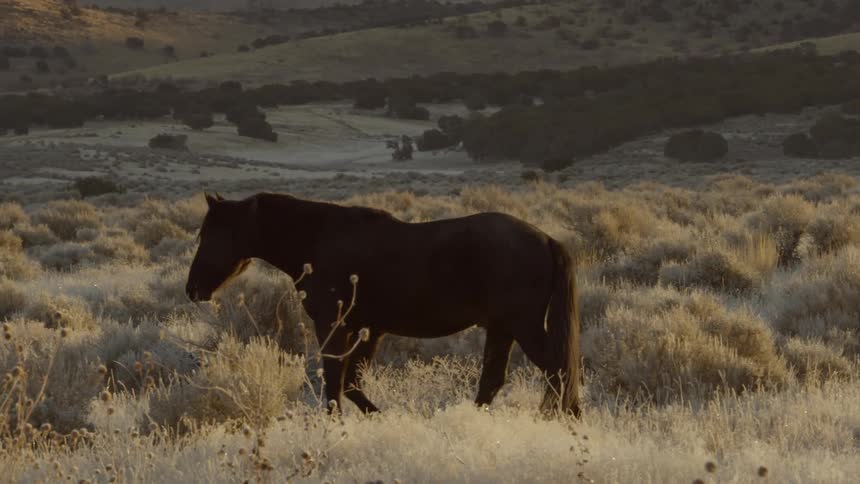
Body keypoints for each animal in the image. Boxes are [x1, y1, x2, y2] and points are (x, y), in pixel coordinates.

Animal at [185, 192, 581, 417]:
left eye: (209, 234)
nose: (192, 289)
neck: (320, 238)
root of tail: (547, 239)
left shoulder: (333, 326)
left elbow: (335, 383)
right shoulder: (369, 330)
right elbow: (350, 384)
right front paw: (379, 416)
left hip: (523, 326)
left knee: (557, 372)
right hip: (502, 328)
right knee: (494, 382)